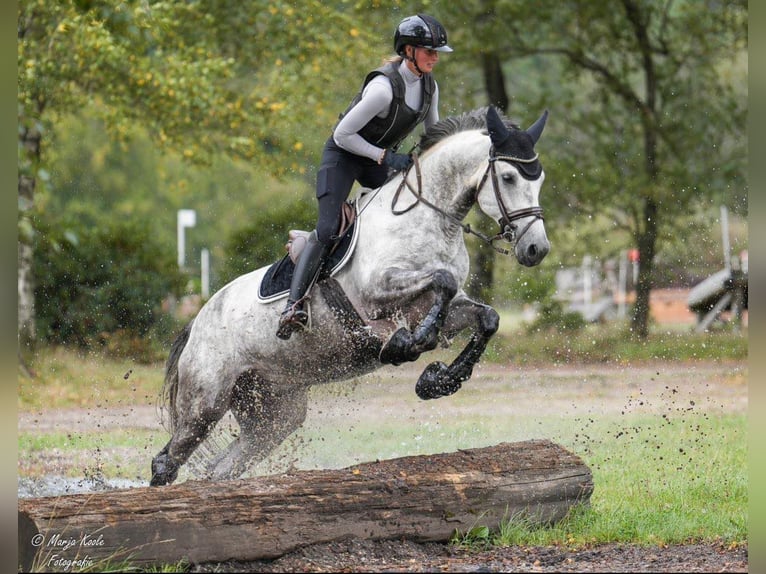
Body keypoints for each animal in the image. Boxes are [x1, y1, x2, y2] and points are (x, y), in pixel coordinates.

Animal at [153, 108, 552, 486]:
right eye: (508, 177)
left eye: (540, 180)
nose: (537, 249)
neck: (432, 220)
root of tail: (197, 322)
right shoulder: (379, 289)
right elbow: (442, 282)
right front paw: (412, 344)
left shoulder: (444, 307)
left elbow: (486, 316)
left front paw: (439, 380)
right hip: (205, 402)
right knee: (167, 460)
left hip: (274, 412)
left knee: (223, 468)